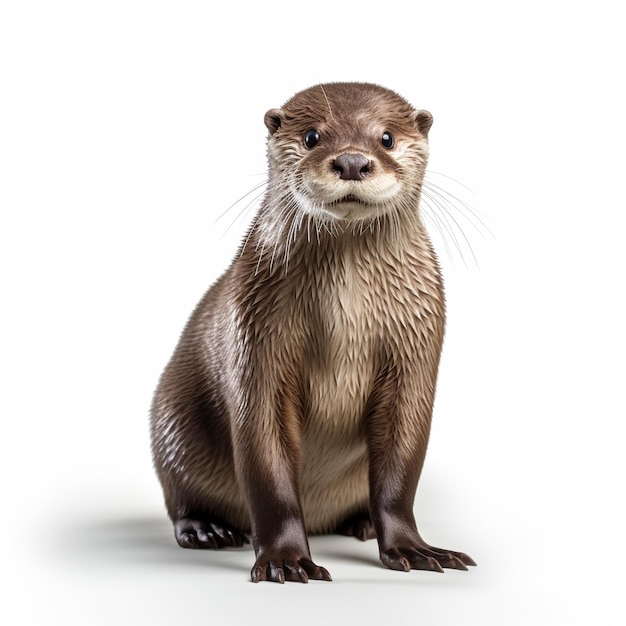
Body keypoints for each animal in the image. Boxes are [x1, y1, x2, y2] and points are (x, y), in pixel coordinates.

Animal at [150, 81, 472, 580]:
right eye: (312, 137)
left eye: (386, 138)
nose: (353, 161)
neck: (347, 315)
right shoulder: (257, 341)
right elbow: (267, 468)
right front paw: (285, 559)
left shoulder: (415, 345)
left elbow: (401, 467)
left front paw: (414, 548)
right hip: (171, 420)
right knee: (179, 496)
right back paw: (206, 529)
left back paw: (362, 523)